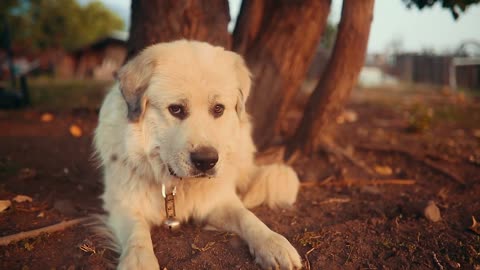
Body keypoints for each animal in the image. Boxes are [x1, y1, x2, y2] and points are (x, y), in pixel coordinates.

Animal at [94, 40, 300, 270]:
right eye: (176, 109)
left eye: (218, 109)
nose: (206, 161)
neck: (178, 185)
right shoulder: (124, 205)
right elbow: (136, 234)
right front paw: (139, 261)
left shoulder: (218, 201)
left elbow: (248, 217)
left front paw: (274, 244)